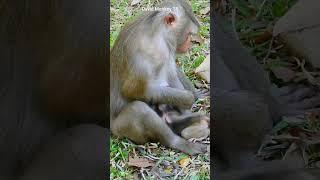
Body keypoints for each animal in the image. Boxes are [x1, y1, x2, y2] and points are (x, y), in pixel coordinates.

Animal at [110, 0, 208, 155]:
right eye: (189, 34)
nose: (189, 44)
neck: (158, 32)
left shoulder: (168, 49)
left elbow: (171, 73)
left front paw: (193, 98)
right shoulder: (148, 53)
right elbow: (134, 91)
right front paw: (189, 98)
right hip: (121, 129)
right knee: (139, 109)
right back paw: (178, 142)